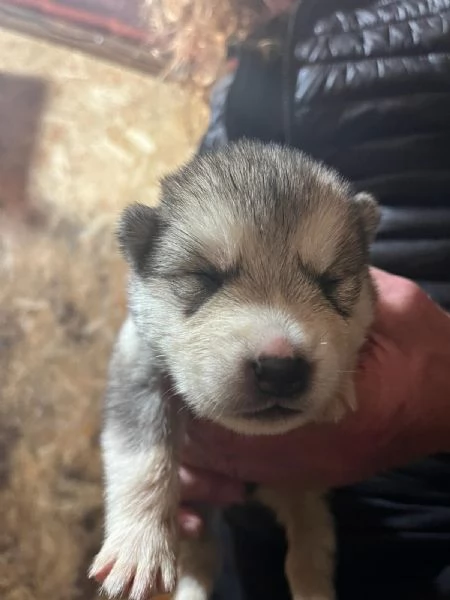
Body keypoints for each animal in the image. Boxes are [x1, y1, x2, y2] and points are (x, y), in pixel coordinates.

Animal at [89, 142, 378, 600]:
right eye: (205, 276)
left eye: (331, 281)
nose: (280, 369)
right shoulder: (136, 366)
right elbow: (142, 457)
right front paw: (139, 546)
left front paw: (337, 390)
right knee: (203, 557)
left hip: (298, 490)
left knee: (311, 541)